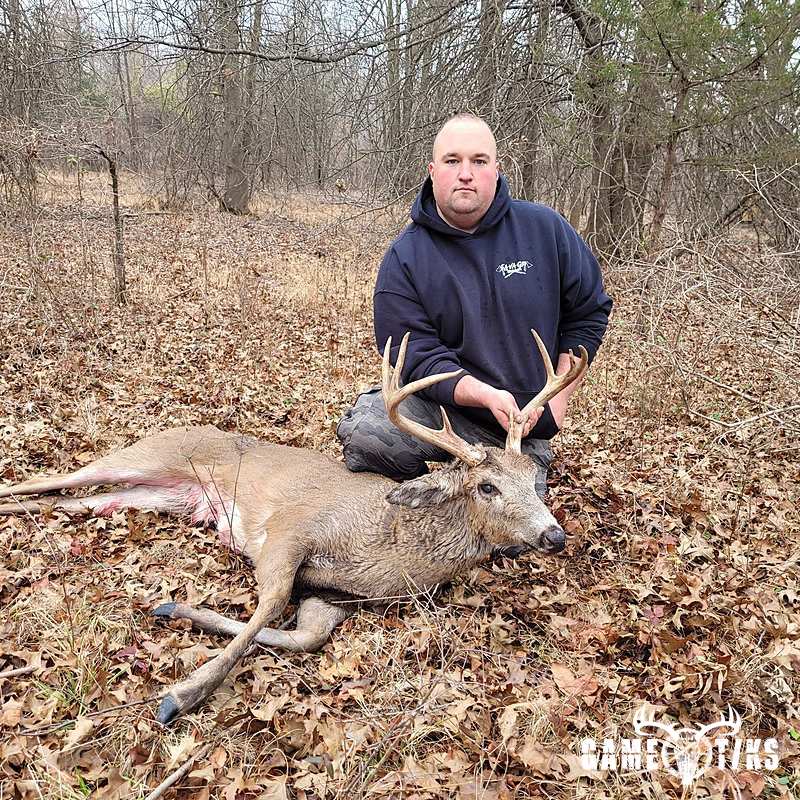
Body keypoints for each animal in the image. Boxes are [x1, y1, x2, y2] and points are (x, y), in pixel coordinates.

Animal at [0, 330, 587, 725]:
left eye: (533, 479)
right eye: (487, 486)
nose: (554, 535)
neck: (389, 546)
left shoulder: (332, 595)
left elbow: (304, 636)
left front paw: (173, 610)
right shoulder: (290, 528)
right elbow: (269, 605)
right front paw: (181, 694)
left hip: (152, 494)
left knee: (75, 501)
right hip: (147, 455)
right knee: (53, 479)